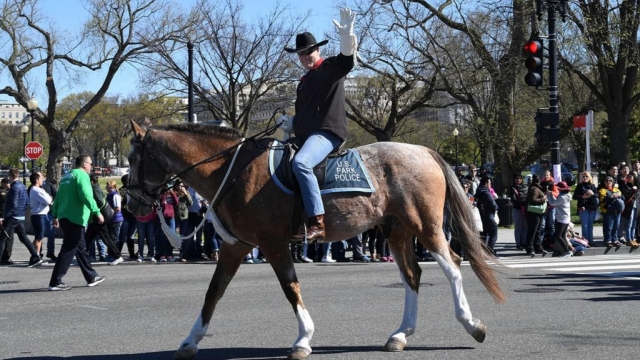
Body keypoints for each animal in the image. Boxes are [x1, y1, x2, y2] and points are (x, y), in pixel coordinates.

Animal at [125, 120, 504, 360]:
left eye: (132, 158)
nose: (131, 204)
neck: (232, 171)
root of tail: (423, 151)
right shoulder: (236, 246)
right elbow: (213, 293)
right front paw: (190, 340)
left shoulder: (273, 243)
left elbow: (290, 287)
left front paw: (304, 339)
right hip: (396, 230)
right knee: (413, 275)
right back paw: (400, 335)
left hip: (425, 225)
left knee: (452, 265)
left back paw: (472, 324)